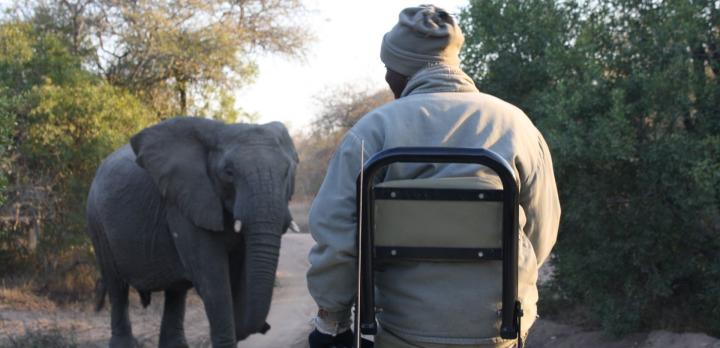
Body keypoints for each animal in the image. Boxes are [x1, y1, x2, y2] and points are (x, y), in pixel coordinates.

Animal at [86, 115, 300, 346]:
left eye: (287, 172)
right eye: (229, 173)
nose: (266, 327)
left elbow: (239, 274)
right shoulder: (184, 204)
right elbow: (214, 281)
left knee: (176, 291)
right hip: (96, 222)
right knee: (116, 285)